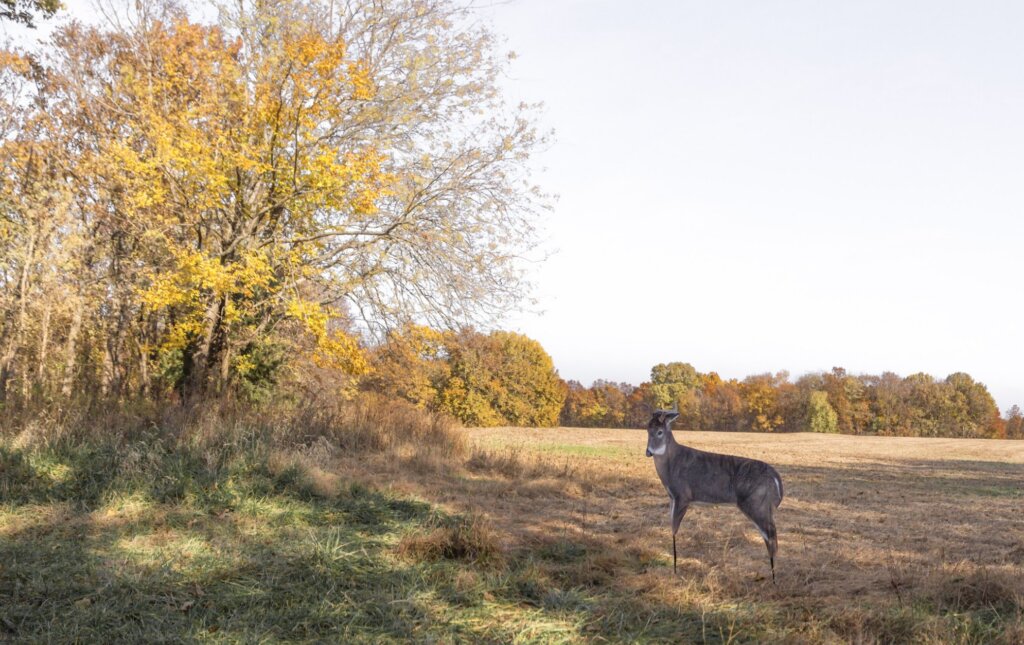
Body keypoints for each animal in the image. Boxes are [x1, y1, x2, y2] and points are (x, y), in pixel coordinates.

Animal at [645, 410, 784, 582]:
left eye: (660, 432)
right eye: (647, 429)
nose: (648, 452)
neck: (671, 465)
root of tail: (775, 478)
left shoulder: (682, 495)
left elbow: (674, 530)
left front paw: (675, 569)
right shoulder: (672, 497)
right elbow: (671, 526)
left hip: (756, 503)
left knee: (771, 536)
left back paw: (773, 578)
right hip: (763, 506)